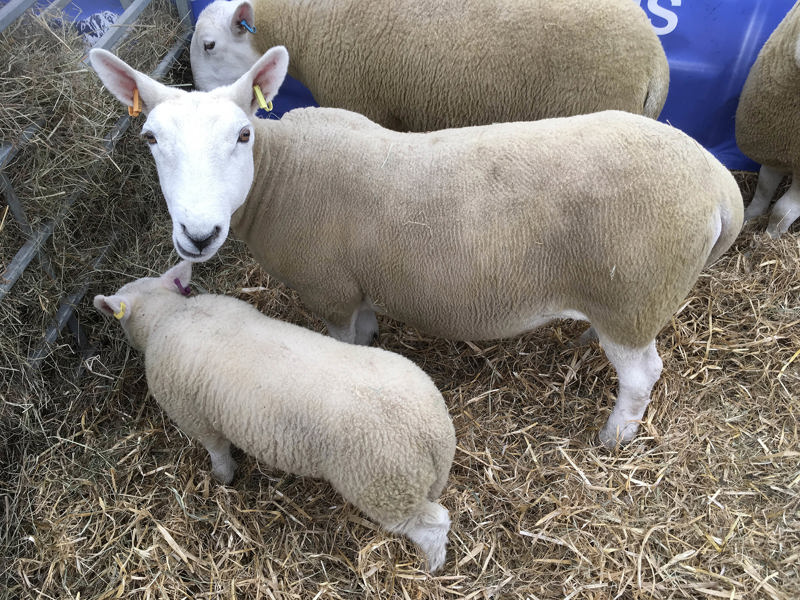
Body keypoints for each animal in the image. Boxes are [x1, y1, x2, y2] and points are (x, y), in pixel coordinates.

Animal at [88, 47, 744, 448]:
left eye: (243, 135)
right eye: (151, 139)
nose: (198, 235)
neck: (283, 176)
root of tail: (718, 183)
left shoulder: (330, 289)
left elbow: (346, 344)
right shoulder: (356, 286)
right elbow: (369, 326)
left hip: (634, 293)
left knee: (643, 374)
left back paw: (615, 434)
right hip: (626, 299)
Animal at [93, 260, 456, 572]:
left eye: (118, 318)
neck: (168, 317)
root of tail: (431, 431)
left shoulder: (196, 417)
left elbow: (217, 451)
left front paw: (222, 478)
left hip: (383, 488)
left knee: (434, 522)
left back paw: (433, 564)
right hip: (411, 482)